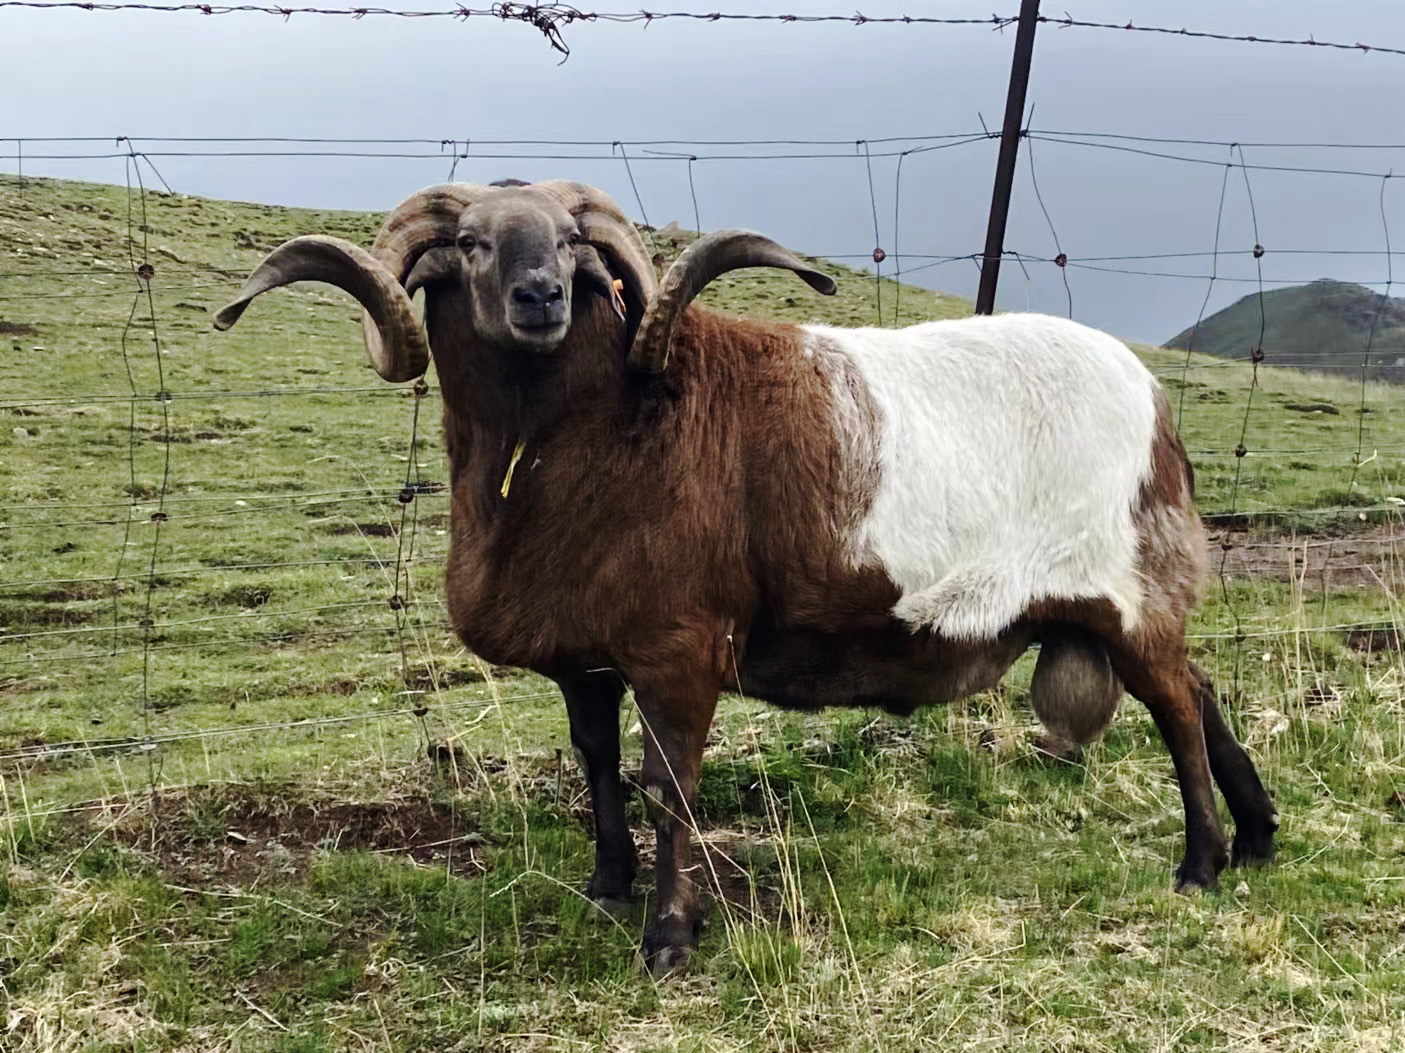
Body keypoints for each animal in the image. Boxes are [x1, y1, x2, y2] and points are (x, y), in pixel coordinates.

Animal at [213, 181, 1281, 978]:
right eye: (470, 243)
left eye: (571, 242)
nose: (541, 298)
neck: (589, 430)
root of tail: (1153, 399)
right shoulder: (588, 661)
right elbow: (595, 765)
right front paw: (607, 887)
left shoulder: (678, 650)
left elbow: (670, 788)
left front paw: (667, 938)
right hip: (1127, 604)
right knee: (1200, 686)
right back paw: (1259, 835)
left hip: (1125, 593)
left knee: (1175, 705)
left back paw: (1200, 861)